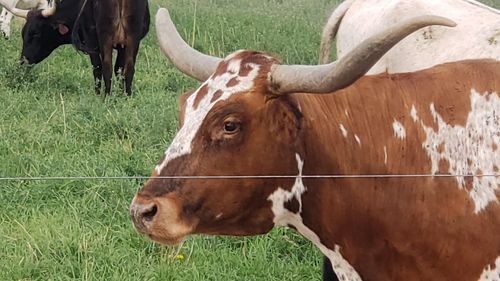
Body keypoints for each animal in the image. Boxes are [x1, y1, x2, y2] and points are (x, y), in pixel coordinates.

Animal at [0, 0, 149, 95]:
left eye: (35, 33)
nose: (22, 61)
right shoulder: (123, 46)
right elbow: (119, 69)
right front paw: (121, 94)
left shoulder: (91, 44)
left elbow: (98, 69)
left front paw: (97, 93)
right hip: (133, 40)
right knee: (128, 68)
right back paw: (127, 96)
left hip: (105, 39)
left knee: (107, 67)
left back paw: (105, 97)